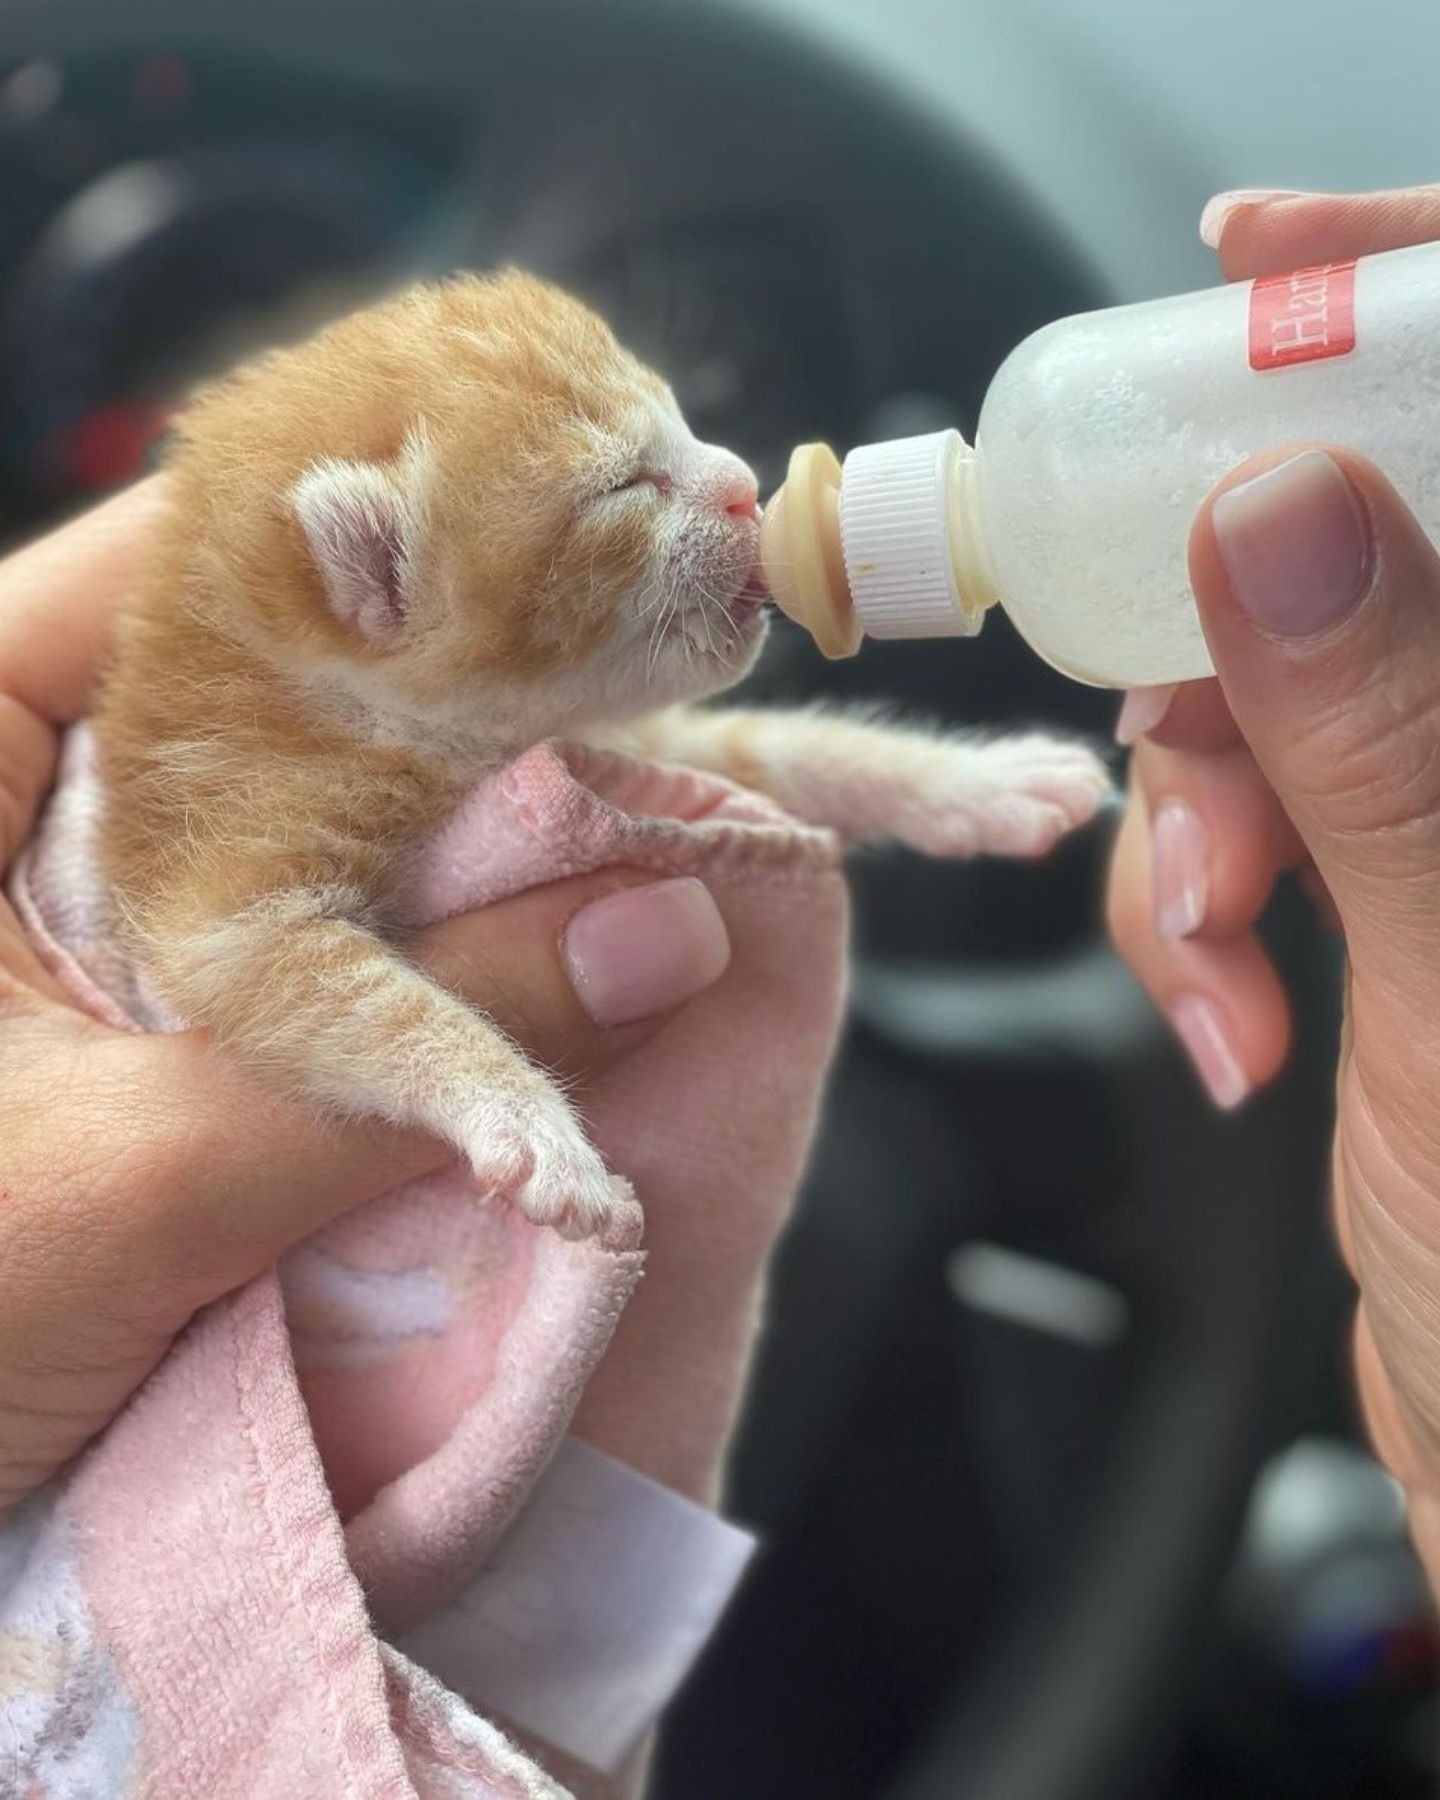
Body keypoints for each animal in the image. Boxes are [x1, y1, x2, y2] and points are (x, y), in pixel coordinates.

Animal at [90, 270, 1108, 1238]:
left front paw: (985, 781)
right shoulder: (235, 852)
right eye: (623, 489)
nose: (747, 485)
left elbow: (791, 749)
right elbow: (332, 990)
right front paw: (526, 1120)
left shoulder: (635, 740)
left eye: (685, 421)